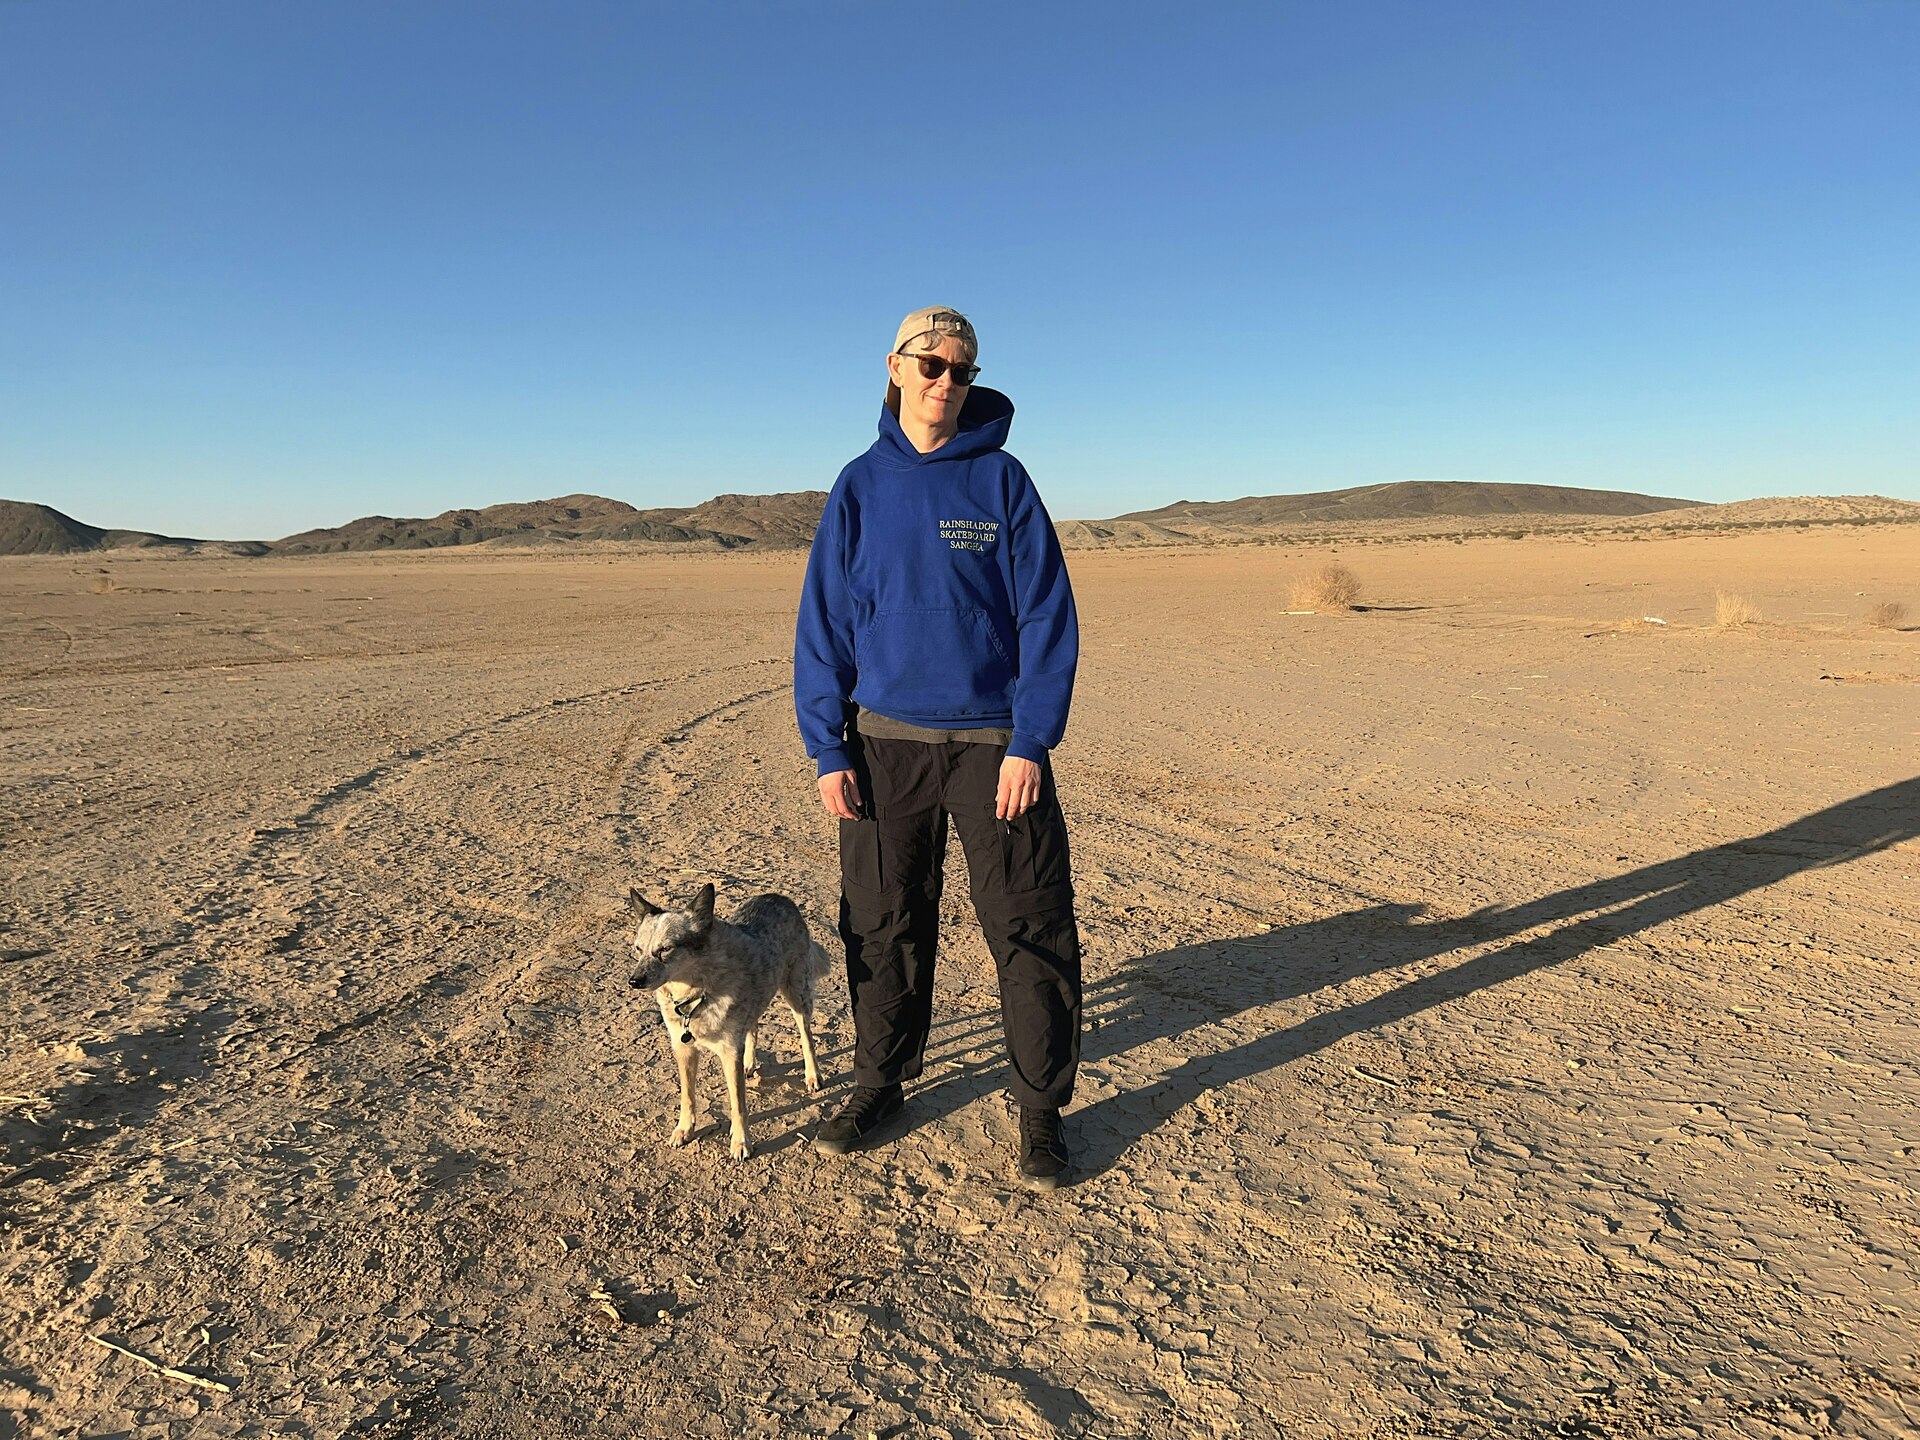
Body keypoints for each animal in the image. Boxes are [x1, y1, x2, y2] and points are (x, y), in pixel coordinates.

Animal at [626, 882, 831, 1160]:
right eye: (638, 949)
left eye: (665, 949)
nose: (634, 981)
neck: (695, 996)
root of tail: (779, 897)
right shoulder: (683, 1048)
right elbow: (687, 1096)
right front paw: (684, 1129)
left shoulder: (729, 1052)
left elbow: (738, 1104)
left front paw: (741, 1142)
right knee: (753, 1024)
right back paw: (750, 1062)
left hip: (796, 993)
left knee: (806, 1036)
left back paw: (812, 1074)